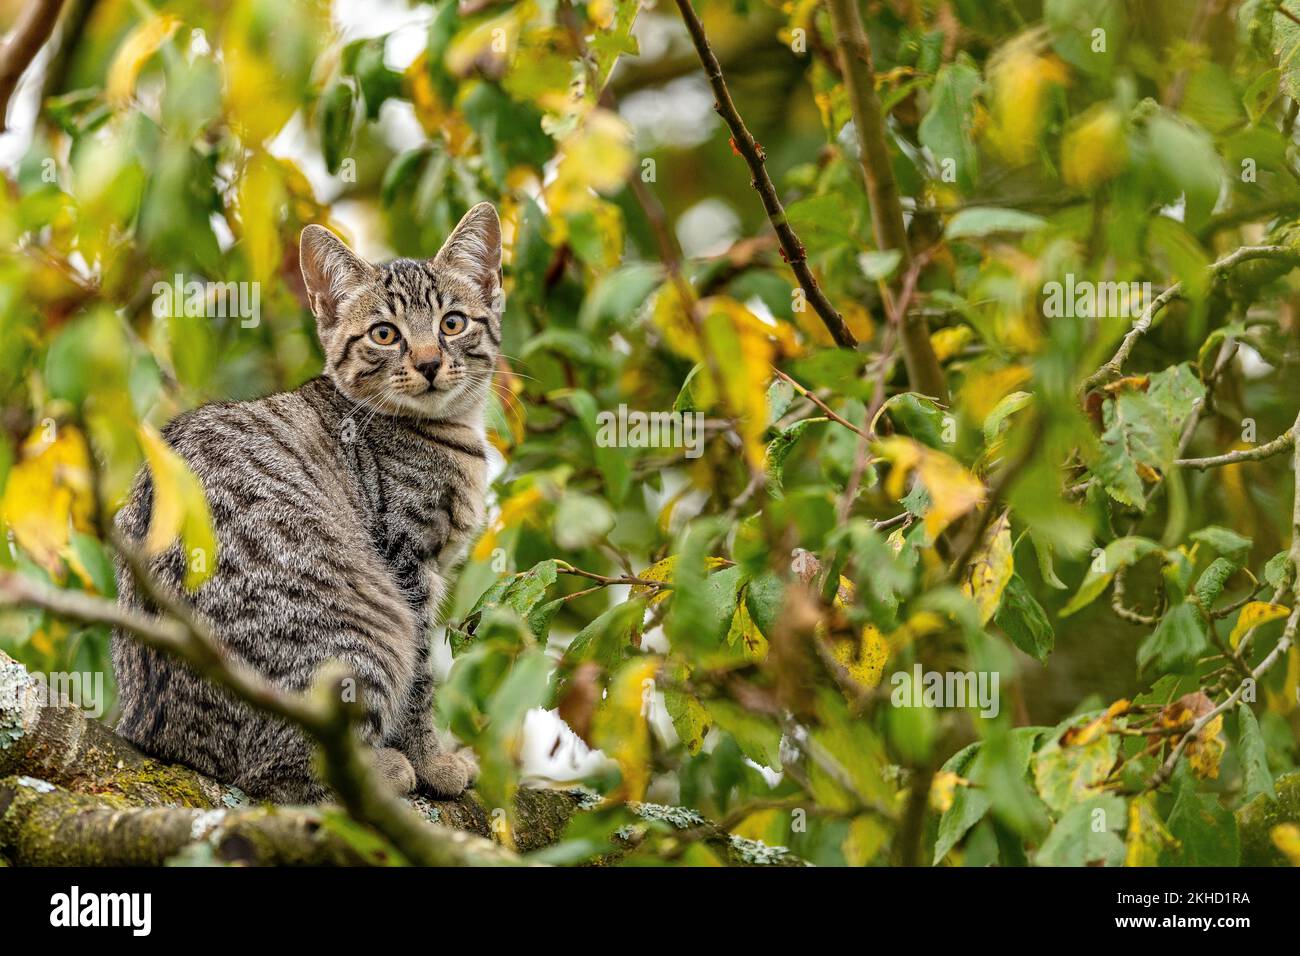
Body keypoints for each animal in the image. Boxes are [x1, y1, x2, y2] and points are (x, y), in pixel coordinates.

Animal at [111, 204, 501, 806]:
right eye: (384, 334)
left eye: (452, 323)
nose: (430, 361)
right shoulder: (405, 562)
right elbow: (419, 682)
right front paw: (432, 761)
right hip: (366, 629)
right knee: (283, 771)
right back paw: (382, 770)